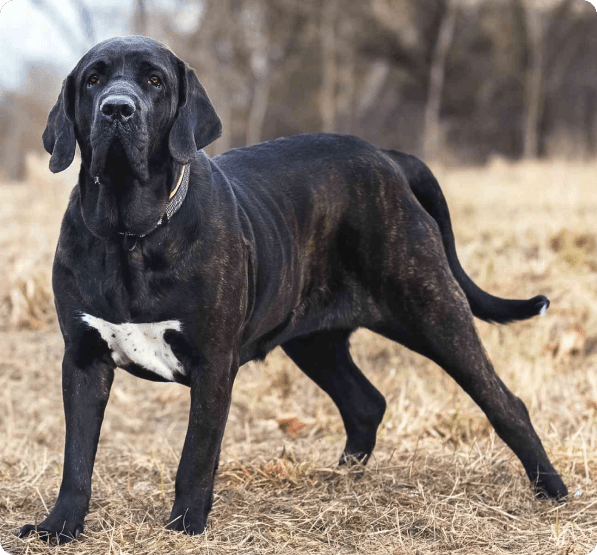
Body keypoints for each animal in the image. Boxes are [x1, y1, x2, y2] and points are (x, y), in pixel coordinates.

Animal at [21, 37, 564, 544]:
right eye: (93, 80)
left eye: (154, 81)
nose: (117, 108)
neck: (129, 234)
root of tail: (387, 158)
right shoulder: (84, 359)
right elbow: (76, 459)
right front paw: (58, 528)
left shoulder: (212, 364)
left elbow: (196, 455)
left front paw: (184, 527)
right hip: (315, 341)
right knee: (365, 403)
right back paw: (340, 479)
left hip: (433, 312)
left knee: (505, 404)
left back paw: (552, 490)